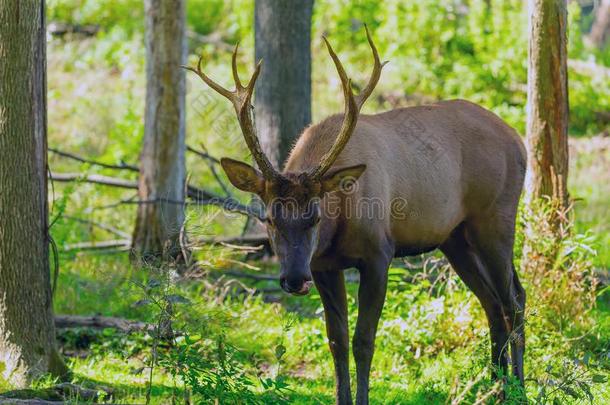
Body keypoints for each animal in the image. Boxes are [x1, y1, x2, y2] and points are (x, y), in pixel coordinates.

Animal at [183, 28, 524, 404]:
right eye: (269, 218)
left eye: (316, 217)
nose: (293, 278)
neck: (338, 227)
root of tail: (518, 140)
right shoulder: (323, 265)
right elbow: (337, 341)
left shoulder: (379, 254)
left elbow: (363, 341)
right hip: (455, 238)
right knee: (492, 303)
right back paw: (496, 388)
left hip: (496, 217)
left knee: (514, 300)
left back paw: (520, 387)